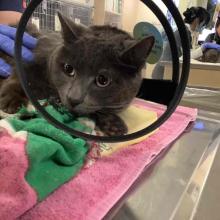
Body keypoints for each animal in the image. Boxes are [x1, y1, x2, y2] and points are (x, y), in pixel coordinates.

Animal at [0, 12, 154, 136]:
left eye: (103, 80)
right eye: (68, 69)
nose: (73, 98)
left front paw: (113, 123)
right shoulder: (29, 60)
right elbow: (17, 79)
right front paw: (11, 101)